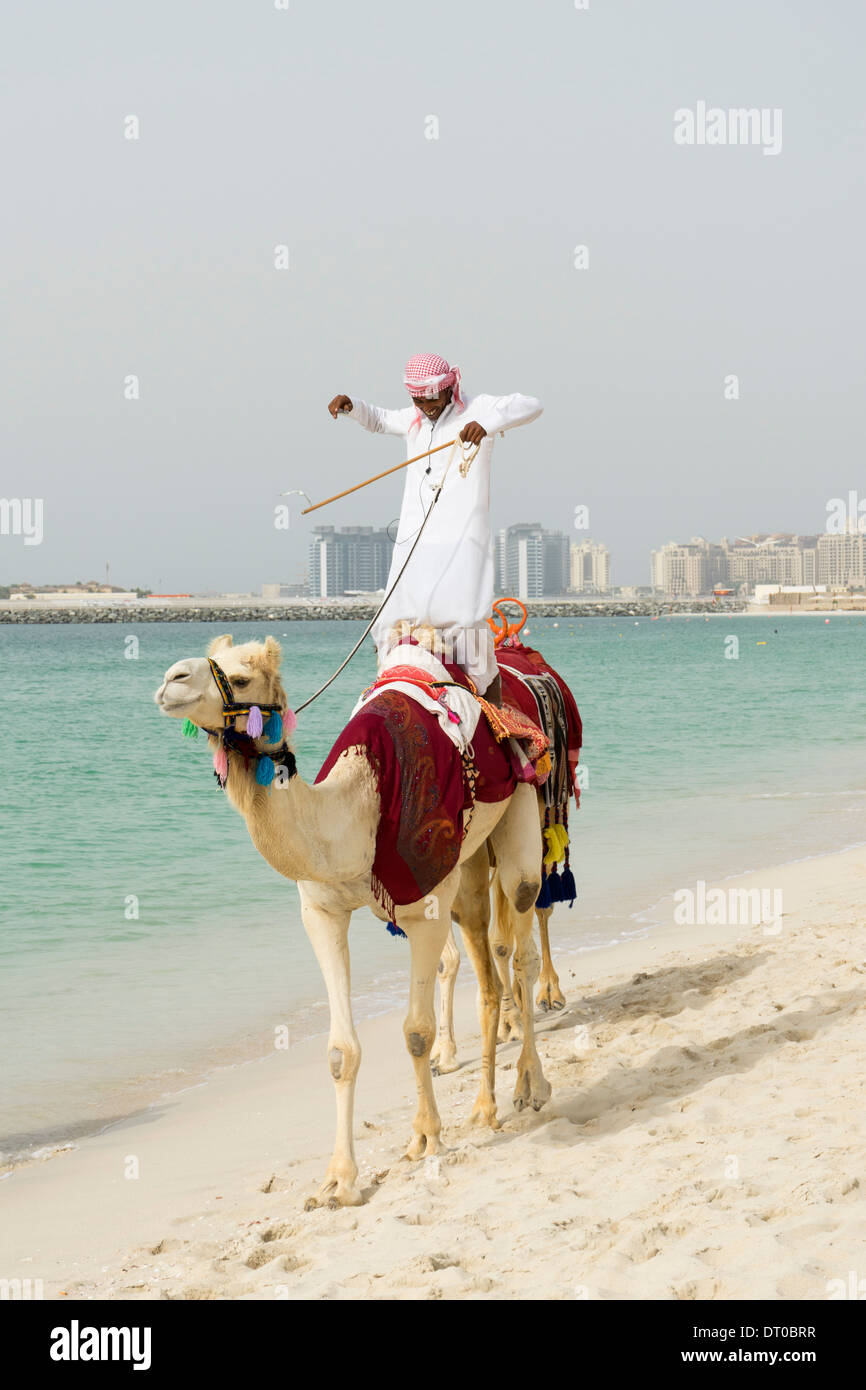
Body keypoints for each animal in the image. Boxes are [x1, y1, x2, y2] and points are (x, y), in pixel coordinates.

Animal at [154, 631, 547, 1206]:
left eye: (242, 678)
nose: (170, 680)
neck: (360, 808)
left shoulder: (425, 906)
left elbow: (415, 1032)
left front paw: (426, 1137)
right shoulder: (322, 911)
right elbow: (341, 1052)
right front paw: (339, 1179)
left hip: (521, 807)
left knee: (521, 950)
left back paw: (529, 1086)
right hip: (471, 863)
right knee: (489, 969)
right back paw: (484, 1107)